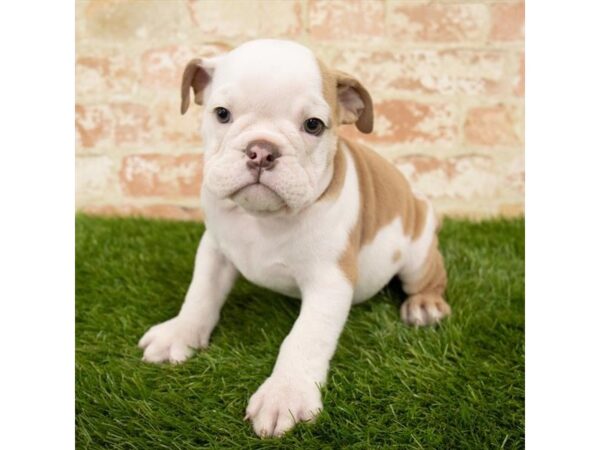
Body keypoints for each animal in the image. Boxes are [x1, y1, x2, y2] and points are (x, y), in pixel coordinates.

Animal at [139, 39, 450, 440]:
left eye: (313, 125)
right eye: (222, 114)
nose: (261, 150)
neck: (264, 220)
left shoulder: (329, 281)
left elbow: (304, 338)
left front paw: (284, 394)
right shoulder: (215, 250)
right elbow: (200, 294)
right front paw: (180, 332)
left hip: (417, 253)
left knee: (429, 278)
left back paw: (425, 305)